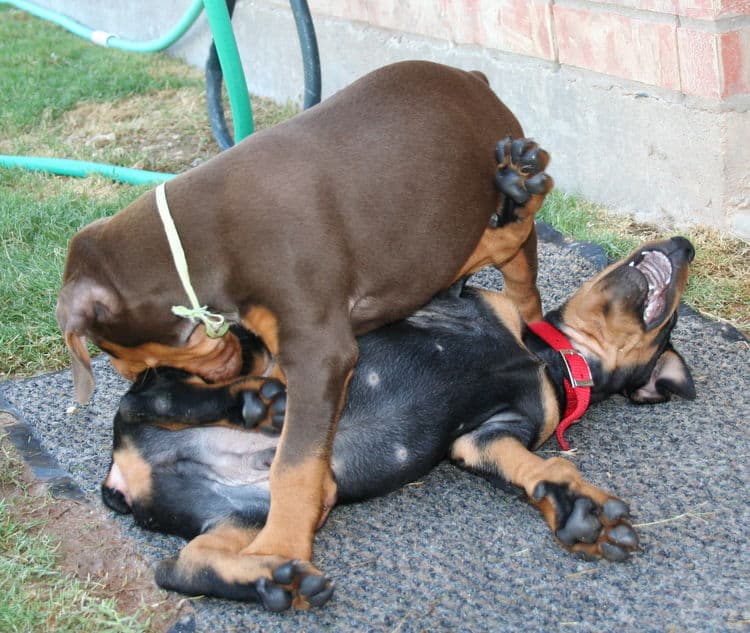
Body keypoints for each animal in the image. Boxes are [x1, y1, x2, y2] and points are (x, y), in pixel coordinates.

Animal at [57, 61, 552, 604]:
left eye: (122, 353)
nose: (137, 376)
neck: (199, 242)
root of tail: (470, 76)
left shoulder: (319, 354)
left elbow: (292, 467)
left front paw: (282, 544)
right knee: (175, 562)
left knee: (517, 268)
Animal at [103, 236, 696, 608]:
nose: (687, 245)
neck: (547, 358)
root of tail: (126, 479)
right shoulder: (453, 301)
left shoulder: (486, 437)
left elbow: (541, 469)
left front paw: (579, 512)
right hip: (218, 374)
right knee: (146, 398)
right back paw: (252, 403)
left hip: (252, 511)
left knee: (179, 568)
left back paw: (271, 581)